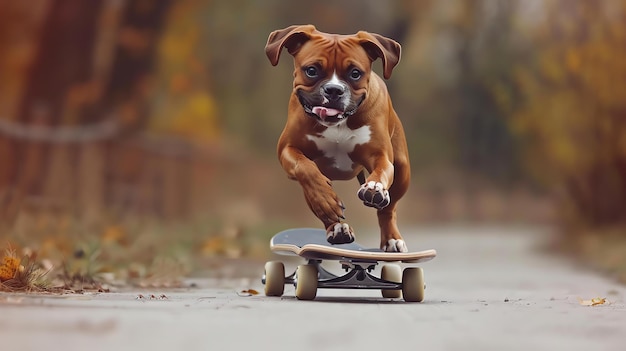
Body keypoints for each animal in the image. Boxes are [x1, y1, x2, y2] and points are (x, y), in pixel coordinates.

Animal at [264, 24, 408, 253]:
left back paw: (391, 237)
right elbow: (306, 169)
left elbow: (381, 172)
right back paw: (337, 227)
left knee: (388, 209)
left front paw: (374, 188)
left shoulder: (381, 156)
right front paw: (325, 200)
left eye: (355, 73)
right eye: (311, 70)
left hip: (402, 171)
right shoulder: (288, 149)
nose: (334, 90)